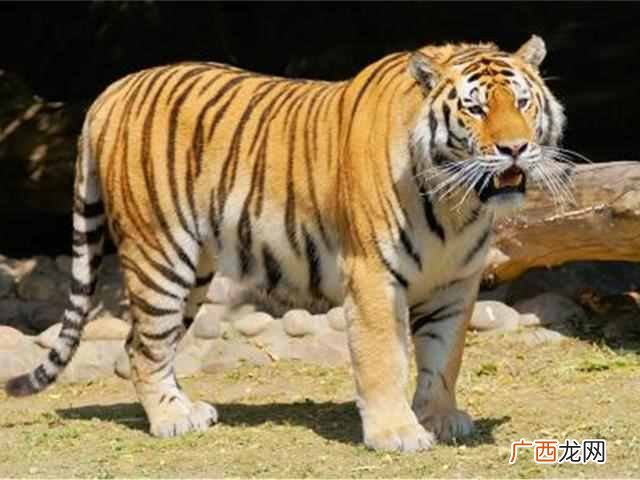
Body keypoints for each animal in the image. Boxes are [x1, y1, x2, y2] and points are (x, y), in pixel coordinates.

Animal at [6, 35, 571, 452]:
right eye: (475, 109)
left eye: (522, 102)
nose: (515, 148)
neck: (459, 203)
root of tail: (113, 89)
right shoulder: (372, 275)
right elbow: (384, 358)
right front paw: (396, 433)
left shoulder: (456, 280)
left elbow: (444, 357)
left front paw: (439, 418)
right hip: (160, 254)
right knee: (144, 345)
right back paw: (172, 420)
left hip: (194, 270)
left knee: (142, 342)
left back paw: (190, 409)